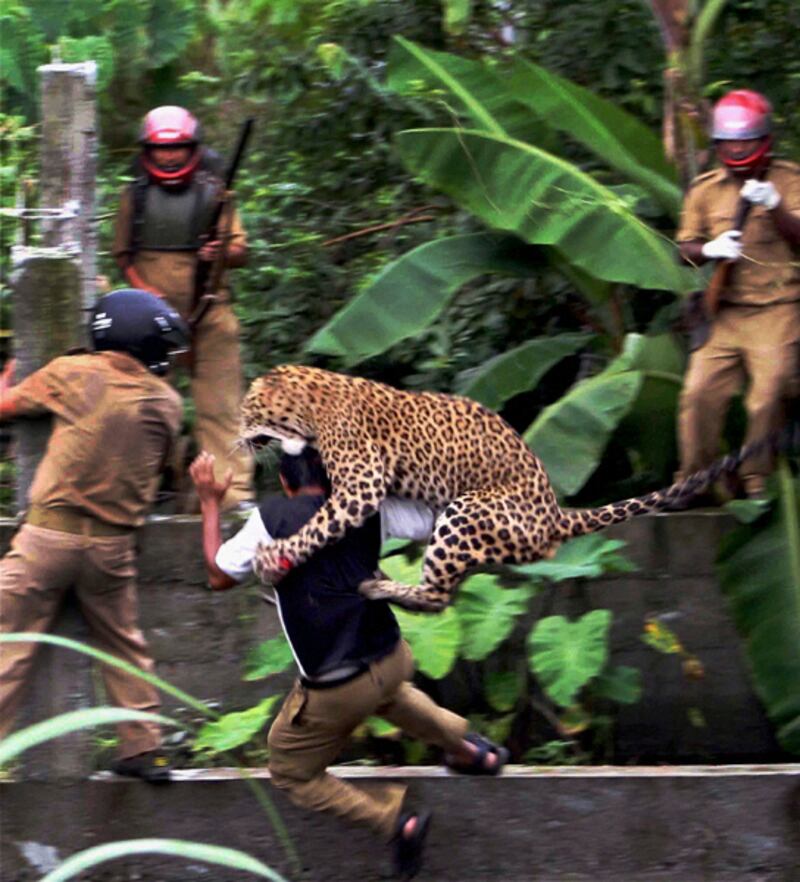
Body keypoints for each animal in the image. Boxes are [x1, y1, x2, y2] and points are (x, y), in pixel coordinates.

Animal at [241, 364, 752, 612]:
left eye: (248, 408)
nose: (238, 435)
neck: (309, 404)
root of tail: (555, 513)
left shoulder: (360, 485)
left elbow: (318, 524)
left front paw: (272, 557)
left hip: (466, 511)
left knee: (438, 597)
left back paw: (381, 586)